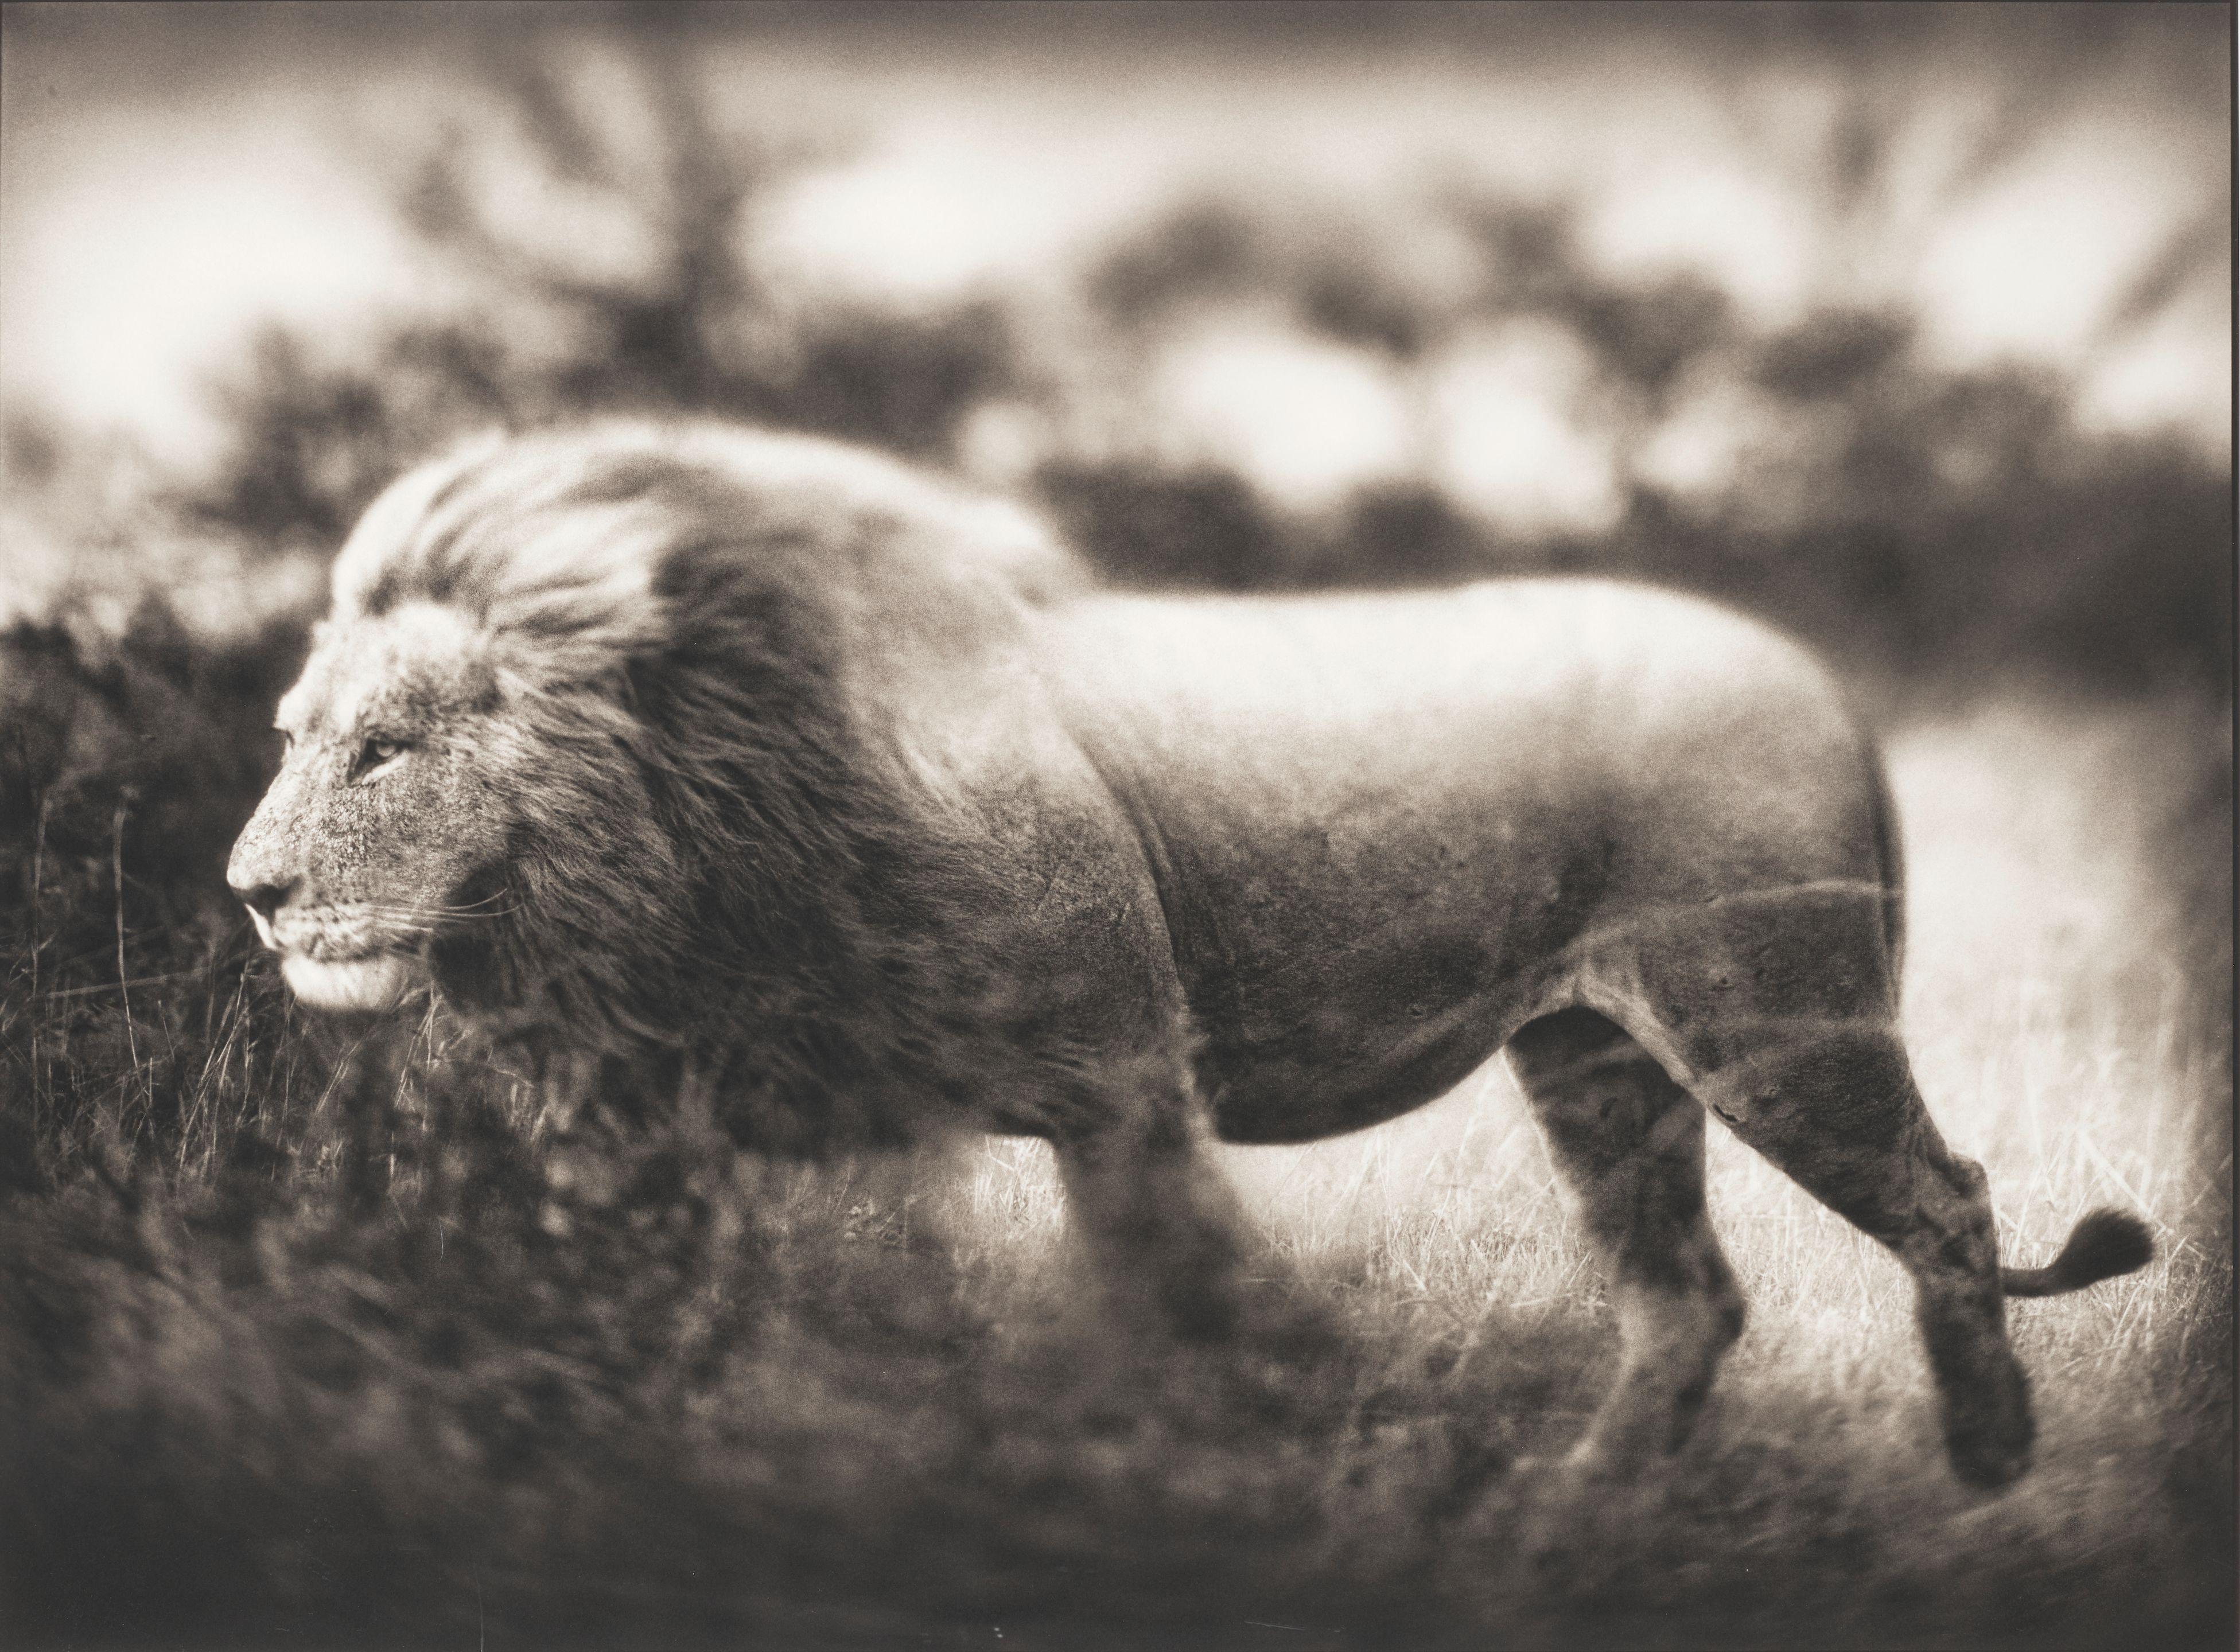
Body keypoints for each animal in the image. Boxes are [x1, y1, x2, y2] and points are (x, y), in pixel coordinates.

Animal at [228, 420, 2152, 1489]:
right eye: (291, 734)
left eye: (384, 751)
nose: (247, 888)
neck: (696, 811)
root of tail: (1818, 675)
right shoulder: (646, 1122)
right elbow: (634, 1311)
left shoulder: (1117, 1081)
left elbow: (1196, 1303)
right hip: (1598, 1066)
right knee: (1689, 1295)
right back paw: (1566, 1517)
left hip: (1774, 1026)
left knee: (1948, 1200)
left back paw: (1988, 1460)